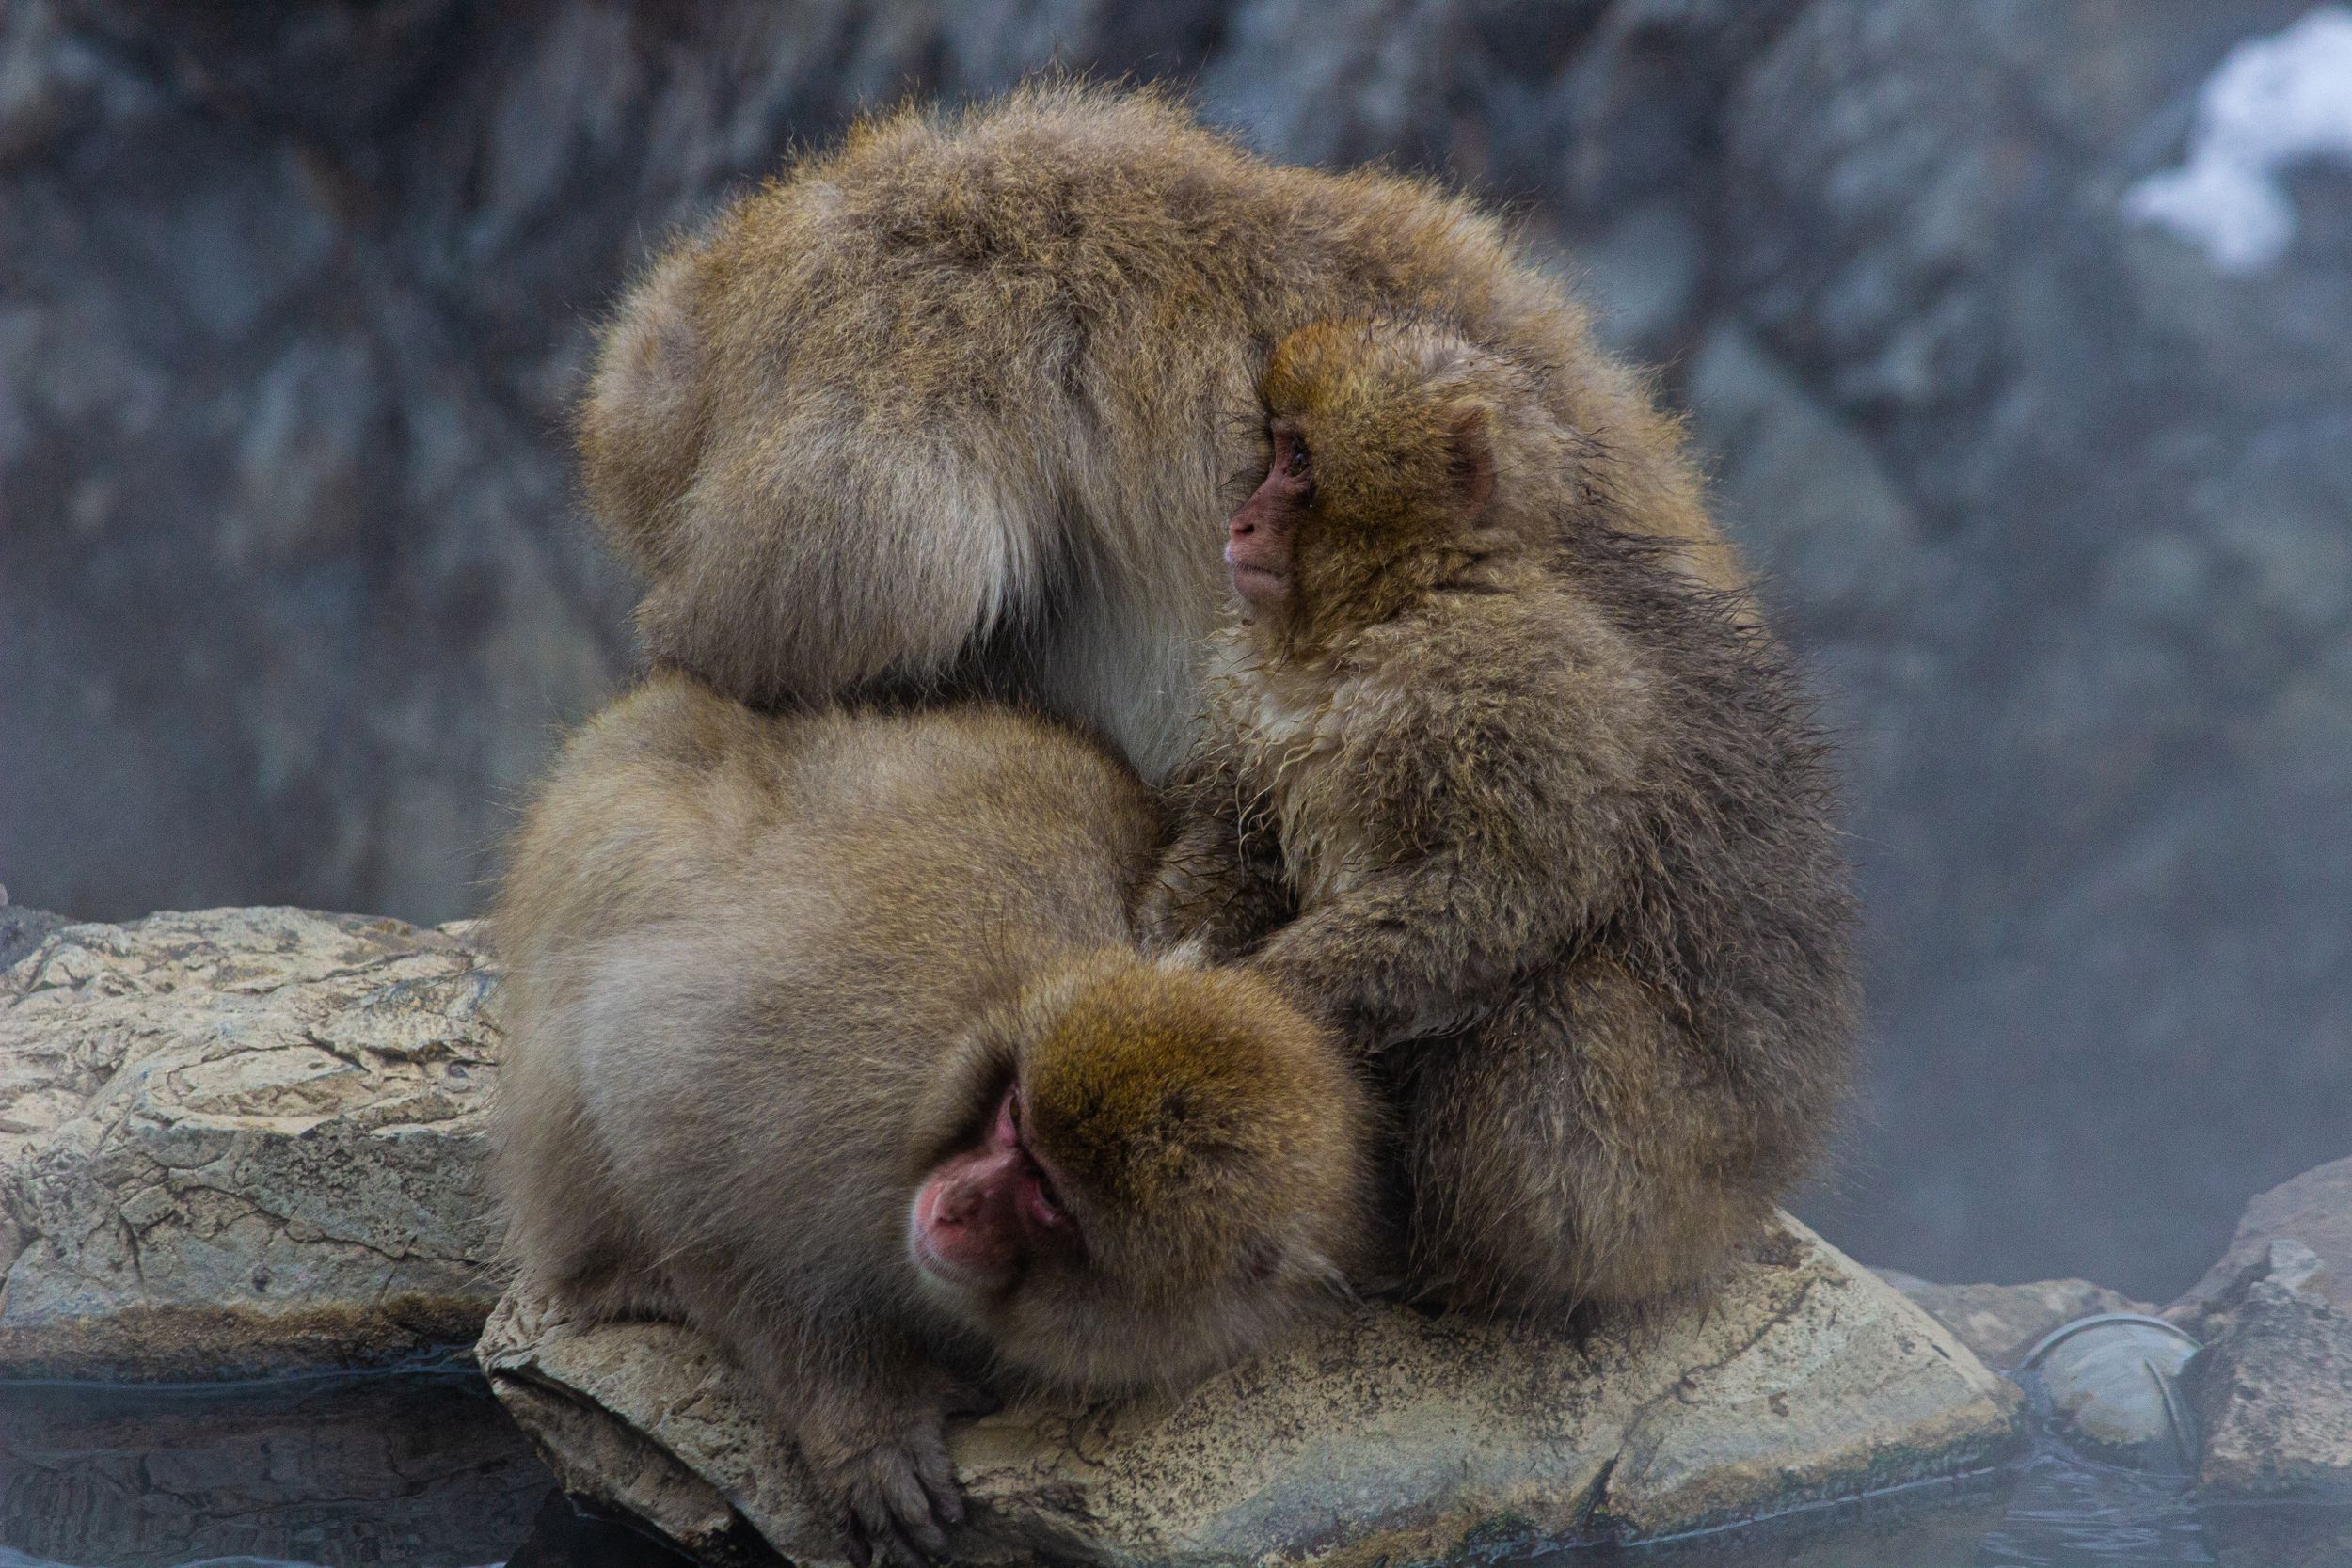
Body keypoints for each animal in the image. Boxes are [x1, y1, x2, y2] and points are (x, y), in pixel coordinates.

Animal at [491, 672, 1374, 1565]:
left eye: (1048, 1194)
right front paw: (862, 1413)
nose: (954, 1205)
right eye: (1013, 1118)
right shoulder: (856, 1057)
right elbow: (660, 1103)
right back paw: (610, 1271)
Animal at [1141, 319, 1857, 1319]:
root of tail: (1756, 1187)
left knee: (1562, 1003)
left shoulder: (1528, 687)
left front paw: (1257, 998)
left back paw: (1465, 1271)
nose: (1240, 522)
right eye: (1276, 448)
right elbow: (1242, 837)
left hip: (1663, 1196)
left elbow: (1508, 890)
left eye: (1299, 462)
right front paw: (1154, 946)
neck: (1418, 596)